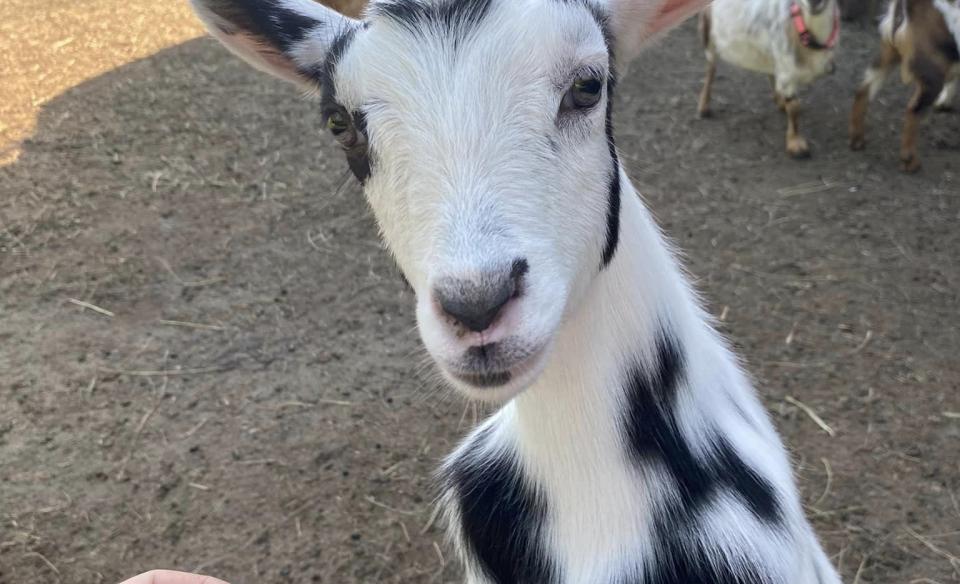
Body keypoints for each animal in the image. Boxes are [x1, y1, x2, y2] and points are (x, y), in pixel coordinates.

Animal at [852, 0, 956, 171]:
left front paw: (944, 103)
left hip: (887, 54)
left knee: (863, 91)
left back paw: (857, 139)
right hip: (931, 74)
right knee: (913, 110)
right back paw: (910, 161)